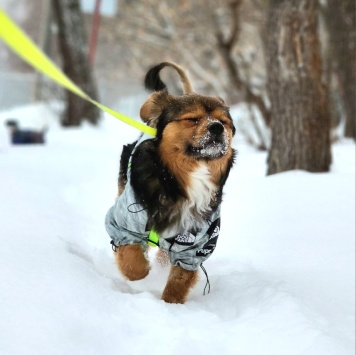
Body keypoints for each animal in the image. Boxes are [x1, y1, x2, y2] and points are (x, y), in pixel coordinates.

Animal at [105, 62, 236, 304]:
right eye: (193, 119)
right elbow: (132, 259)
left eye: (224, 122)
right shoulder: (123, 222)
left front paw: (170, 304)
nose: (217, 128)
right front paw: (141, 272)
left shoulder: (196, 245)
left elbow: (179, 280)